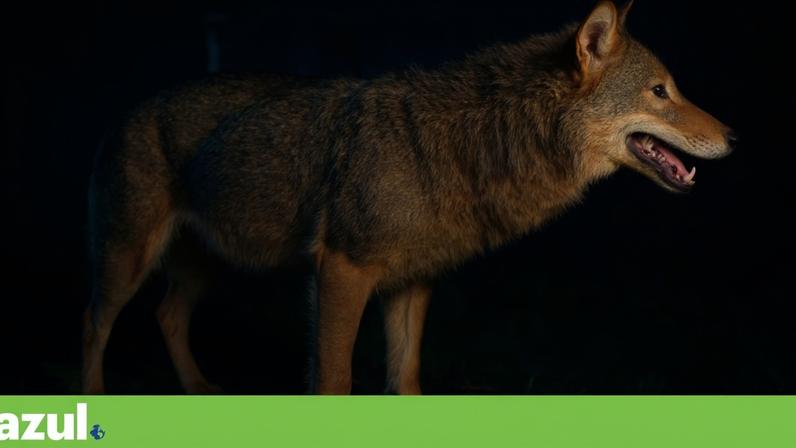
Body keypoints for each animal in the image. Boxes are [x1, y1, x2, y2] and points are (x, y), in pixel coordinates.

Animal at [82, 0, 735, 394]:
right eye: (660, 91)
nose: (734, 137)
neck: (470, 146)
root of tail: (129, 110)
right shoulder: (341, 270)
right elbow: (334, 379)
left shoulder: (412, 284)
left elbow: (408, 380)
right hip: (127, 261)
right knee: (94, 324)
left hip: (210, 262)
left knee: (167, 316)